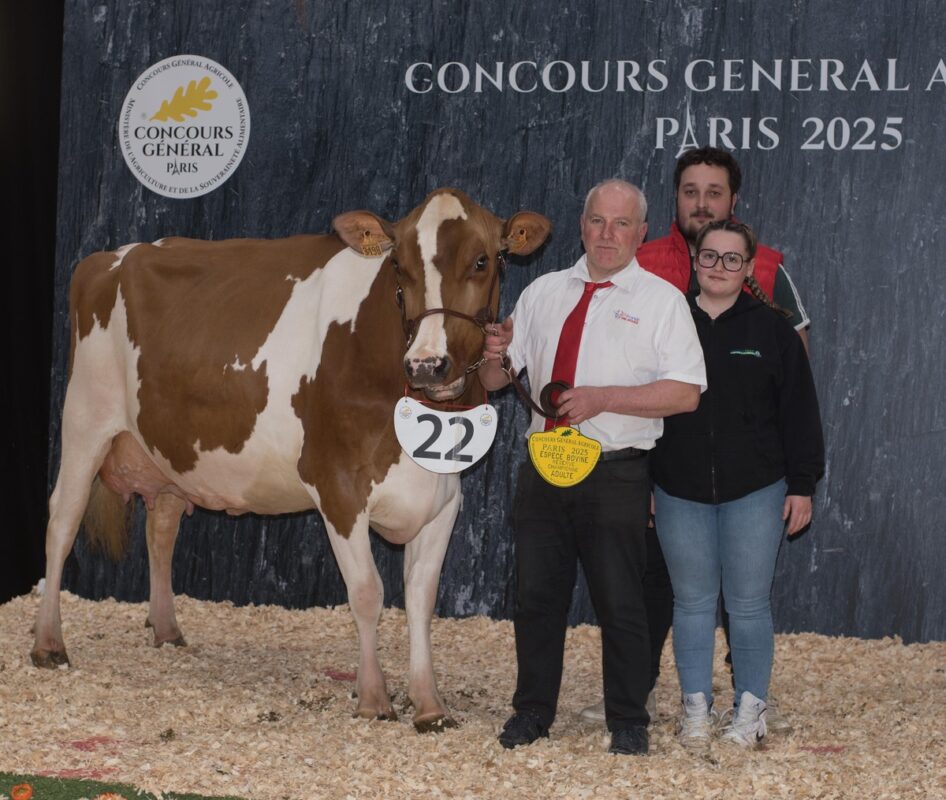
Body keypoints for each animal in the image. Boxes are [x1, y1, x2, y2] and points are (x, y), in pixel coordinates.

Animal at [31, 188, 552, 732]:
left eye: (482, 260)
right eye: (399, 267)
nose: (427, 365)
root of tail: (109, 257)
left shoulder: (445, 498)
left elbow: (420, 599)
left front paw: (429, 704)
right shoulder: (337, 489)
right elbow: (367, 593)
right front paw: (374, 697)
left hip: (173, 453)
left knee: (162, 528)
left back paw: (167, 628)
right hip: (85, 420)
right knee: (61, 521)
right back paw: (48, 643)